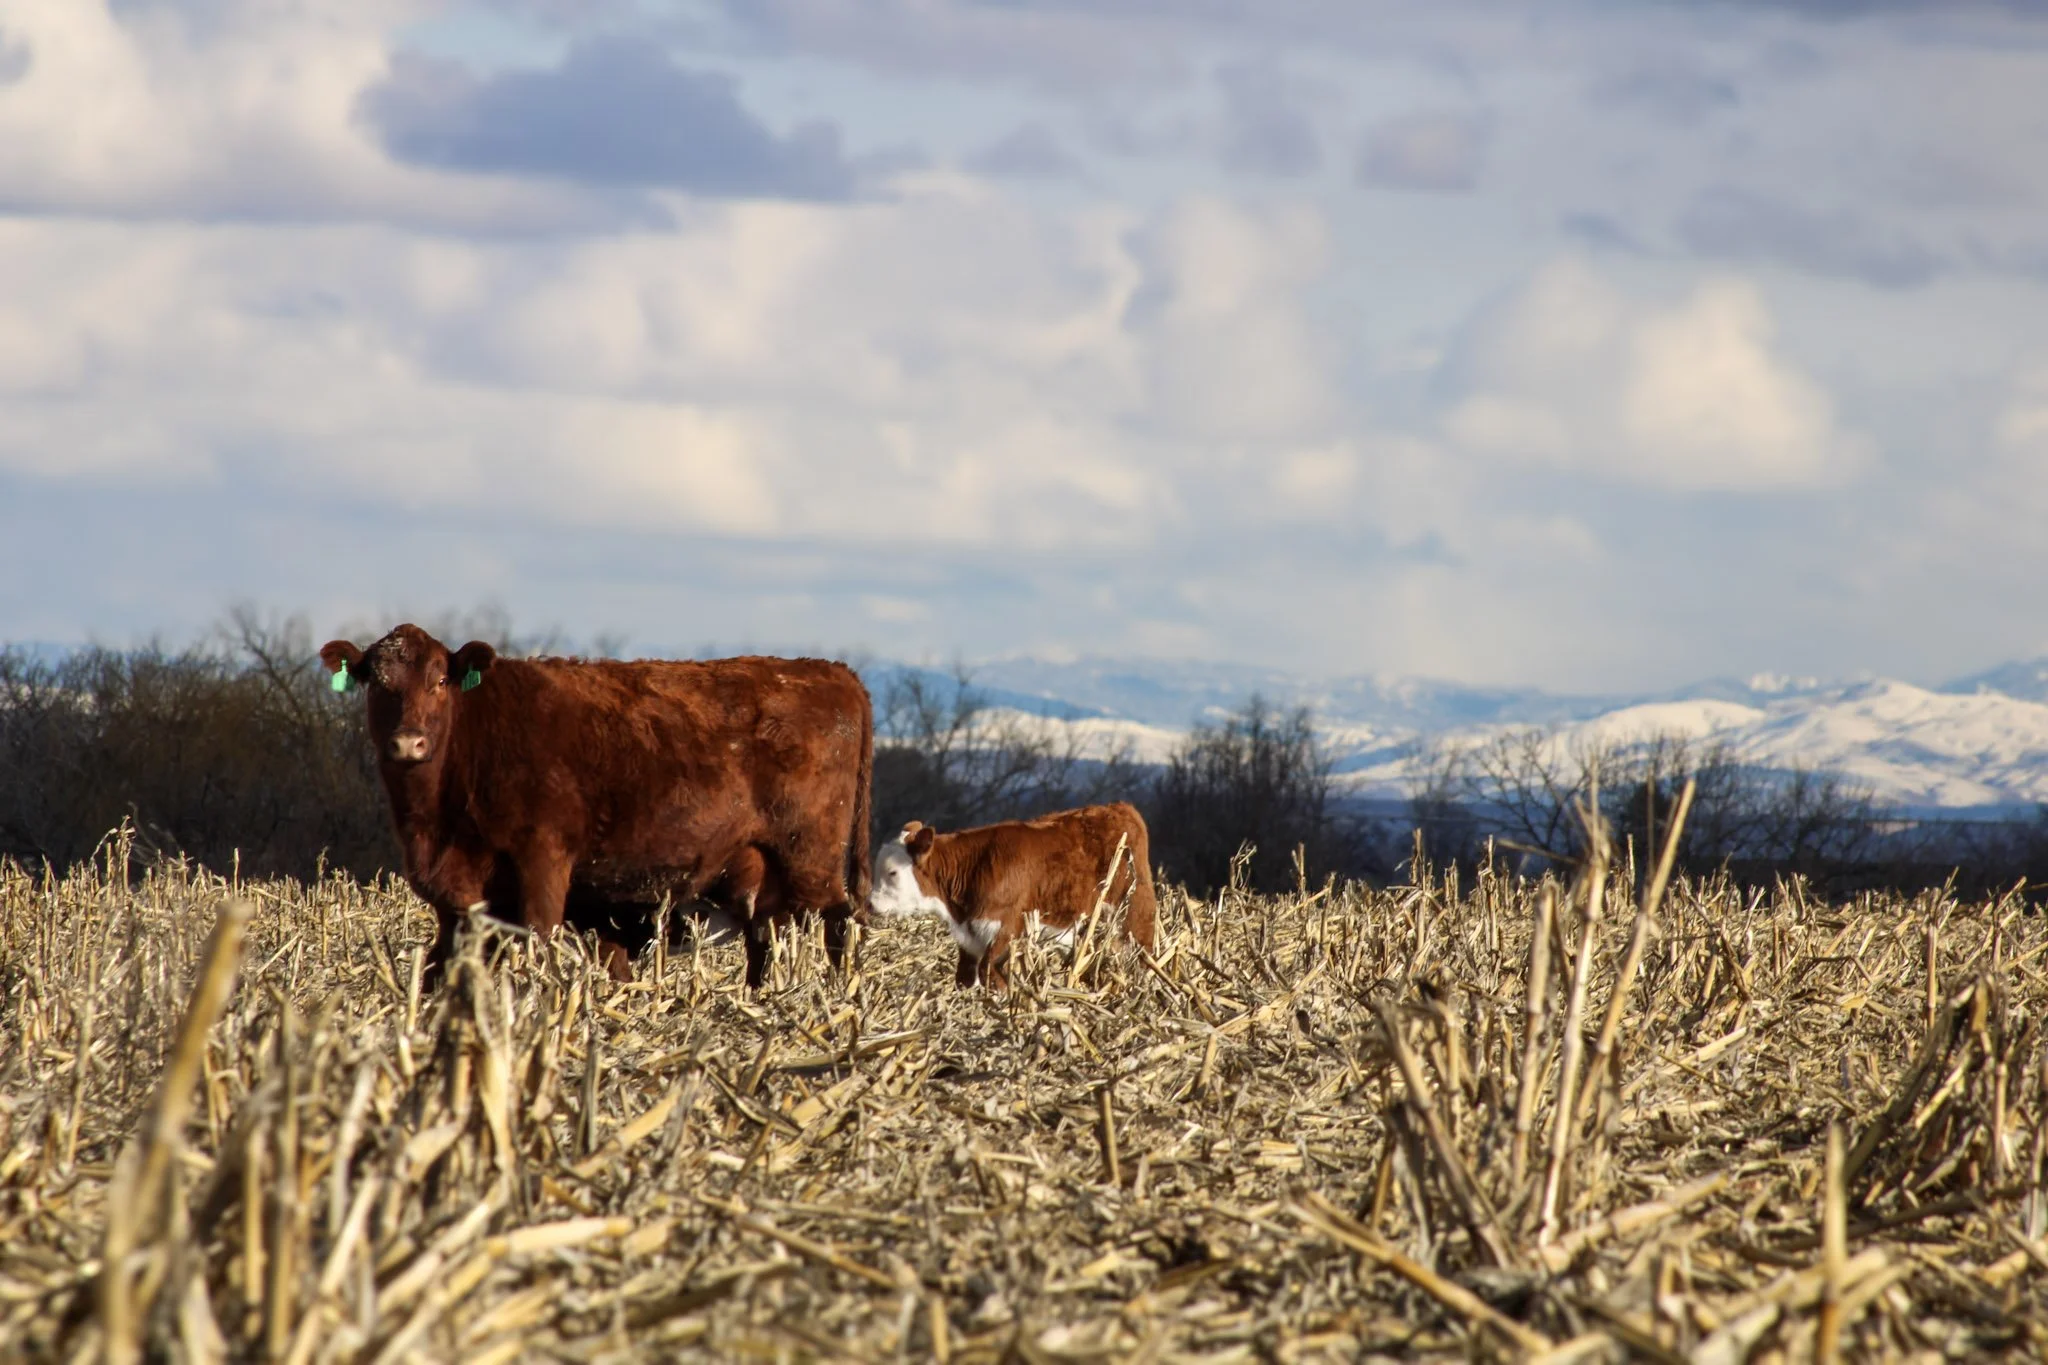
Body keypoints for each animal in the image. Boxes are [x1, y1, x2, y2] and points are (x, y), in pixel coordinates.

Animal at [319, 624, 872, 988]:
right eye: (377, 684)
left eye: (438, 681)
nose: (407, 743)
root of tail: (833, 672)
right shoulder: (459, 898)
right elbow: (441, 966)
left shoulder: (542, 862)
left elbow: (538, 943)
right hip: (763, 875)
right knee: (766, 940)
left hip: (810, 858)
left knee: (840, 926)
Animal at [866, 802, 1157, 988]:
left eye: (892, 872)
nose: (870, 904)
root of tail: (1119, 807)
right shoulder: (971, 938)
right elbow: (965, 977)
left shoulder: (1005, 931)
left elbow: (991, 975)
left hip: (1131, 914)